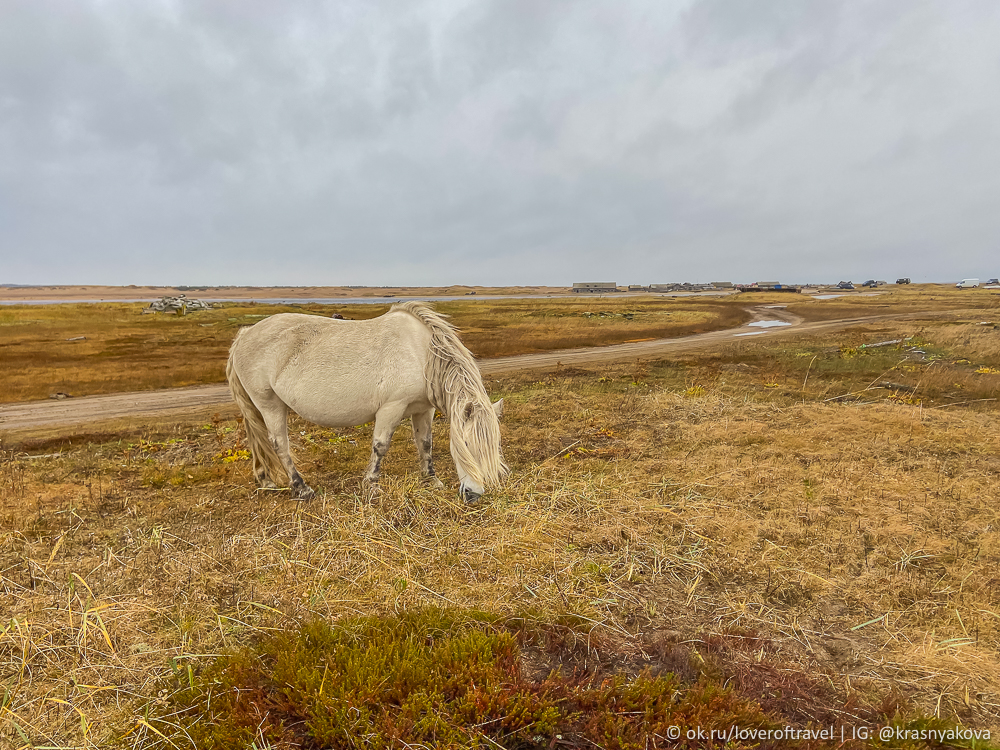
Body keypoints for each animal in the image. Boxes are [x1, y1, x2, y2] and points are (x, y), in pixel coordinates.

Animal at [227, 302, 508, 506]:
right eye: (467, 443)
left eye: (495, 444)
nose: (474, 495)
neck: (421, 354)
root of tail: (244, 334)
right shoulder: (391, 408)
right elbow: (380, 446)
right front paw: (372, 485)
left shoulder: (423, 409)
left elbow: (425, 444)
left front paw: (431, 480)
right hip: (270, 405)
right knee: (279, 445)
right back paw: (302, 488)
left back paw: (266, 481)